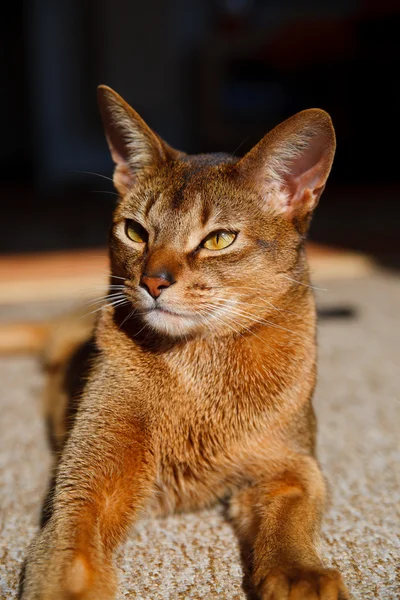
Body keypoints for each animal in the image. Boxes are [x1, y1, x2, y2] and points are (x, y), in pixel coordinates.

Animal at [19, 85, 350, 600]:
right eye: (135, 231)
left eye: (219, 239)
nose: (153, 282)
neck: (199, 366)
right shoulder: (85, 494)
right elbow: (66, 563)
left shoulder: (292, 465)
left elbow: (292, 521)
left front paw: (301, 575)